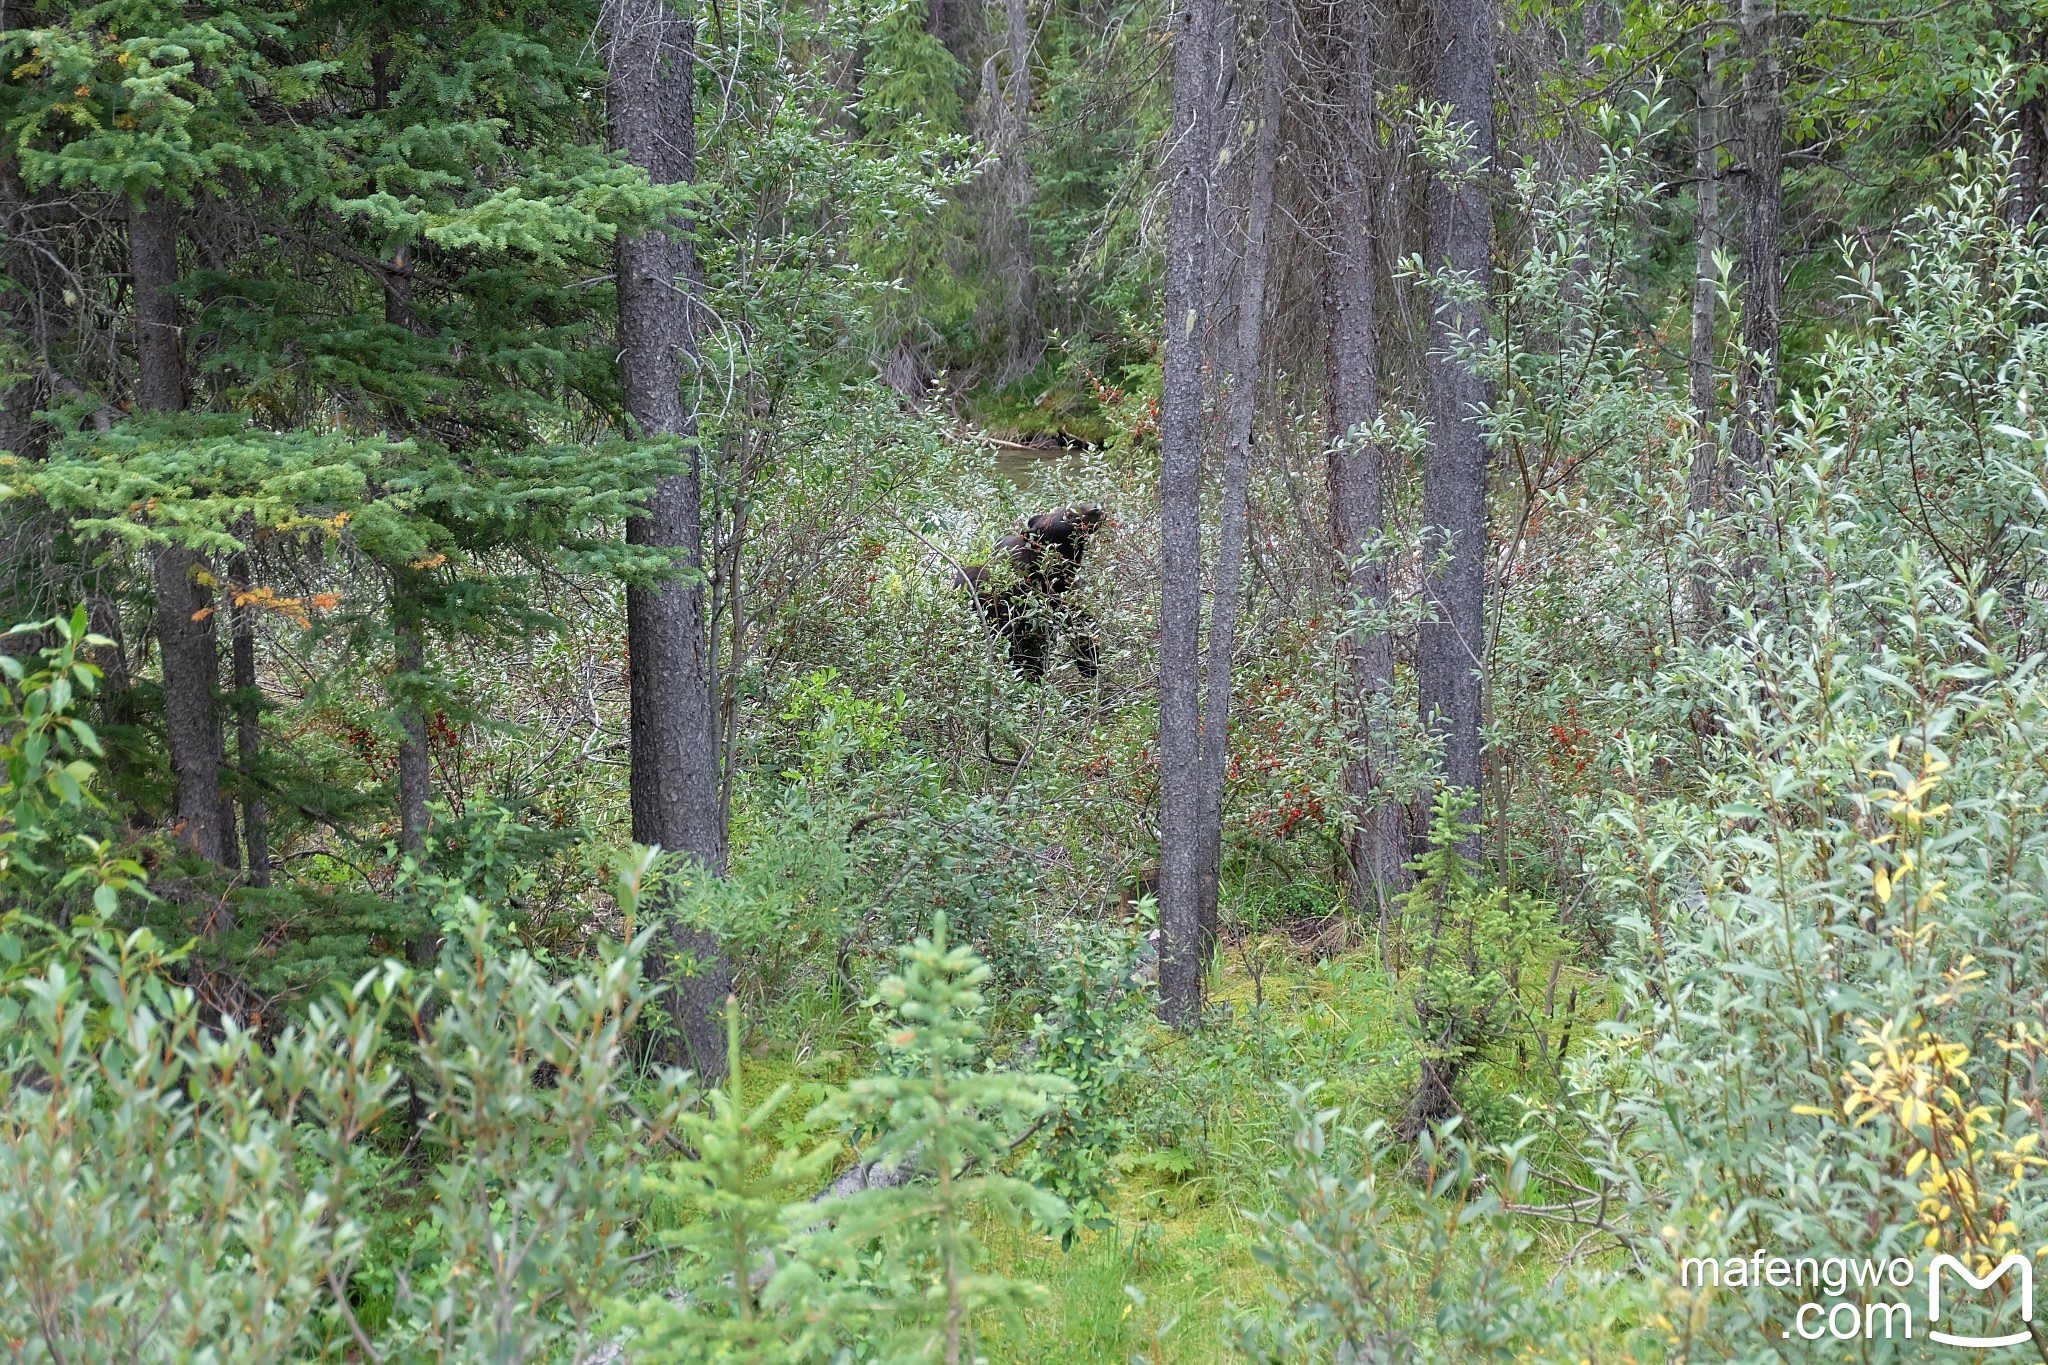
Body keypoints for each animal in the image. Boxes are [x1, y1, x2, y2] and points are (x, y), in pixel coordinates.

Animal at [954, 505, 1105, 679]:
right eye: (1069, 515)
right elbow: (1021, 648)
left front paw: (1089, 661)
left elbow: (1080, 620)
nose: (1097, 509)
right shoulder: (1015, 609)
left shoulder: (1061, 594)